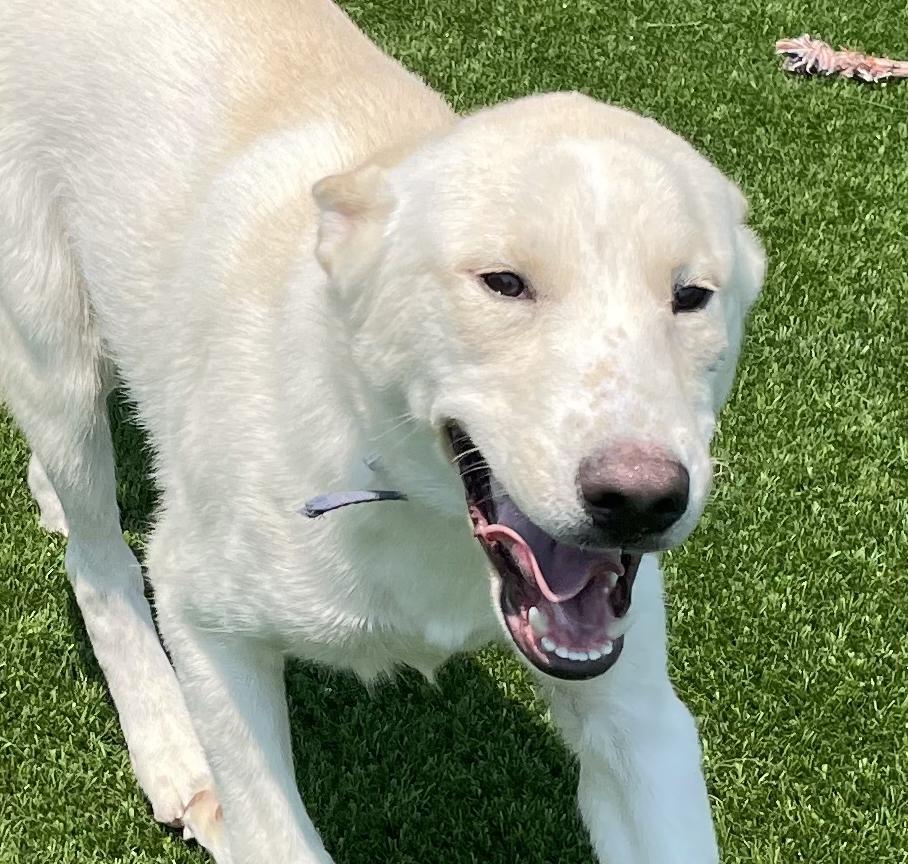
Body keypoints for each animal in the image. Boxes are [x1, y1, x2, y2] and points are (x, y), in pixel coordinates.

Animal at [0, 1, 768, 864]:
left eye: (692, 295)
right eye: (503, 282)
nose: (640, 500)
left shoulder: (638, 719)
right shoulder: (202, 611)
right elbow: (275, 831)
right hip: (53, 342)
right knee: (96, 561)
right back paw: (172, 749)